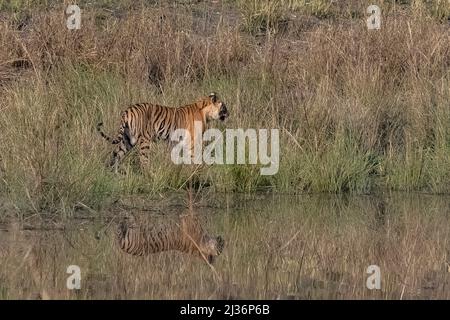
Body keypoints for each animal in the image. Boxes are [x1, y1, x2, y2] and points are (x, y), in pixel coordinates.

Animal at [95, 92, 229, 172]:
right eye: (224, 107)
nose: (229, 113)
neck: (206, 113)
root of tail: (128, 110)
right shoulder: (193, 140)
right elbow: (194, 155)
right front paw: (196, 170)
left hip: (127, 140)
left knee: (116, 154)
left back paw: (112, 173)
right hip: (144, 140)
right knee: (143, 160)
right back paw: (149, 174)